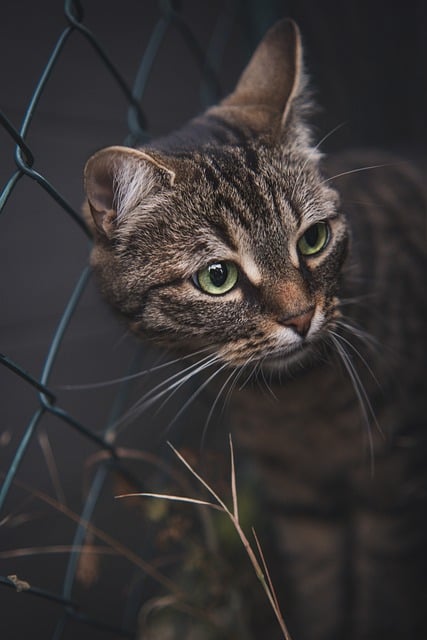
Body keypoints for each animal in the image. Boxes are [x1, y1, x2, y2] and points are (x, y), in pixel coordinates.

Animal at [82, 20, 426, 640]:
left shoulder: (392, 496)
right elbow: (323, 598)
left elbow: (382, 600)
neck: (297, 407)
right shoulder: (302, 510)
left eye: (313, 239)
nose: (301, 317)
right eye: (217, 277)